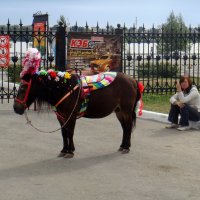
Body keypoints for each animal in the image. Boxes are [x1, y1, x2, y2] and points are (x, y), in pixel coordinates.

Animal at [12, 48, 144, 158]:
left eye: (23, 88)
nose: (16, 108)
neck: (64, 88)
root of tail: (133, 80)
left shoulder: (71, 117)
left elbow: (70, 132)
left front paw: (70, 151)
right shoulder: (61, 117)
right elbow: (64, 133)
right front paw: (64, 150)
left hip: (126, 111)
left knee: (128, 127)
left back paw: (126, 147)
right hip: (119, 111)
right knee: (124, 127)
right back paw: (122, 146)